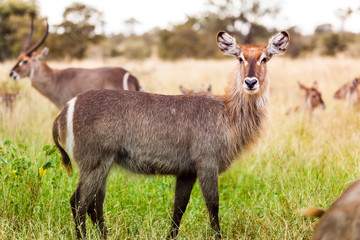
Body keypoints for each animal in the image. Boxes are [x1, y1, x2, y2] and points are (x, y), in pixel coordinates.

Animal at [52, 30, 290, 238]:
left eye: (265, 58)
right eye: (240, 58)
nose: (250, 82)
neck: (228, 112)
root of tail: (67, 107)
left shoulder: (186, 172)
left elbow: (179, 209)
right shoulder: (207, 163)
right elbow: (213, 206)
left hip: (104, 164)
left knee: (95, 205)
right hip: (93, 163)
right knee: (79, 202)